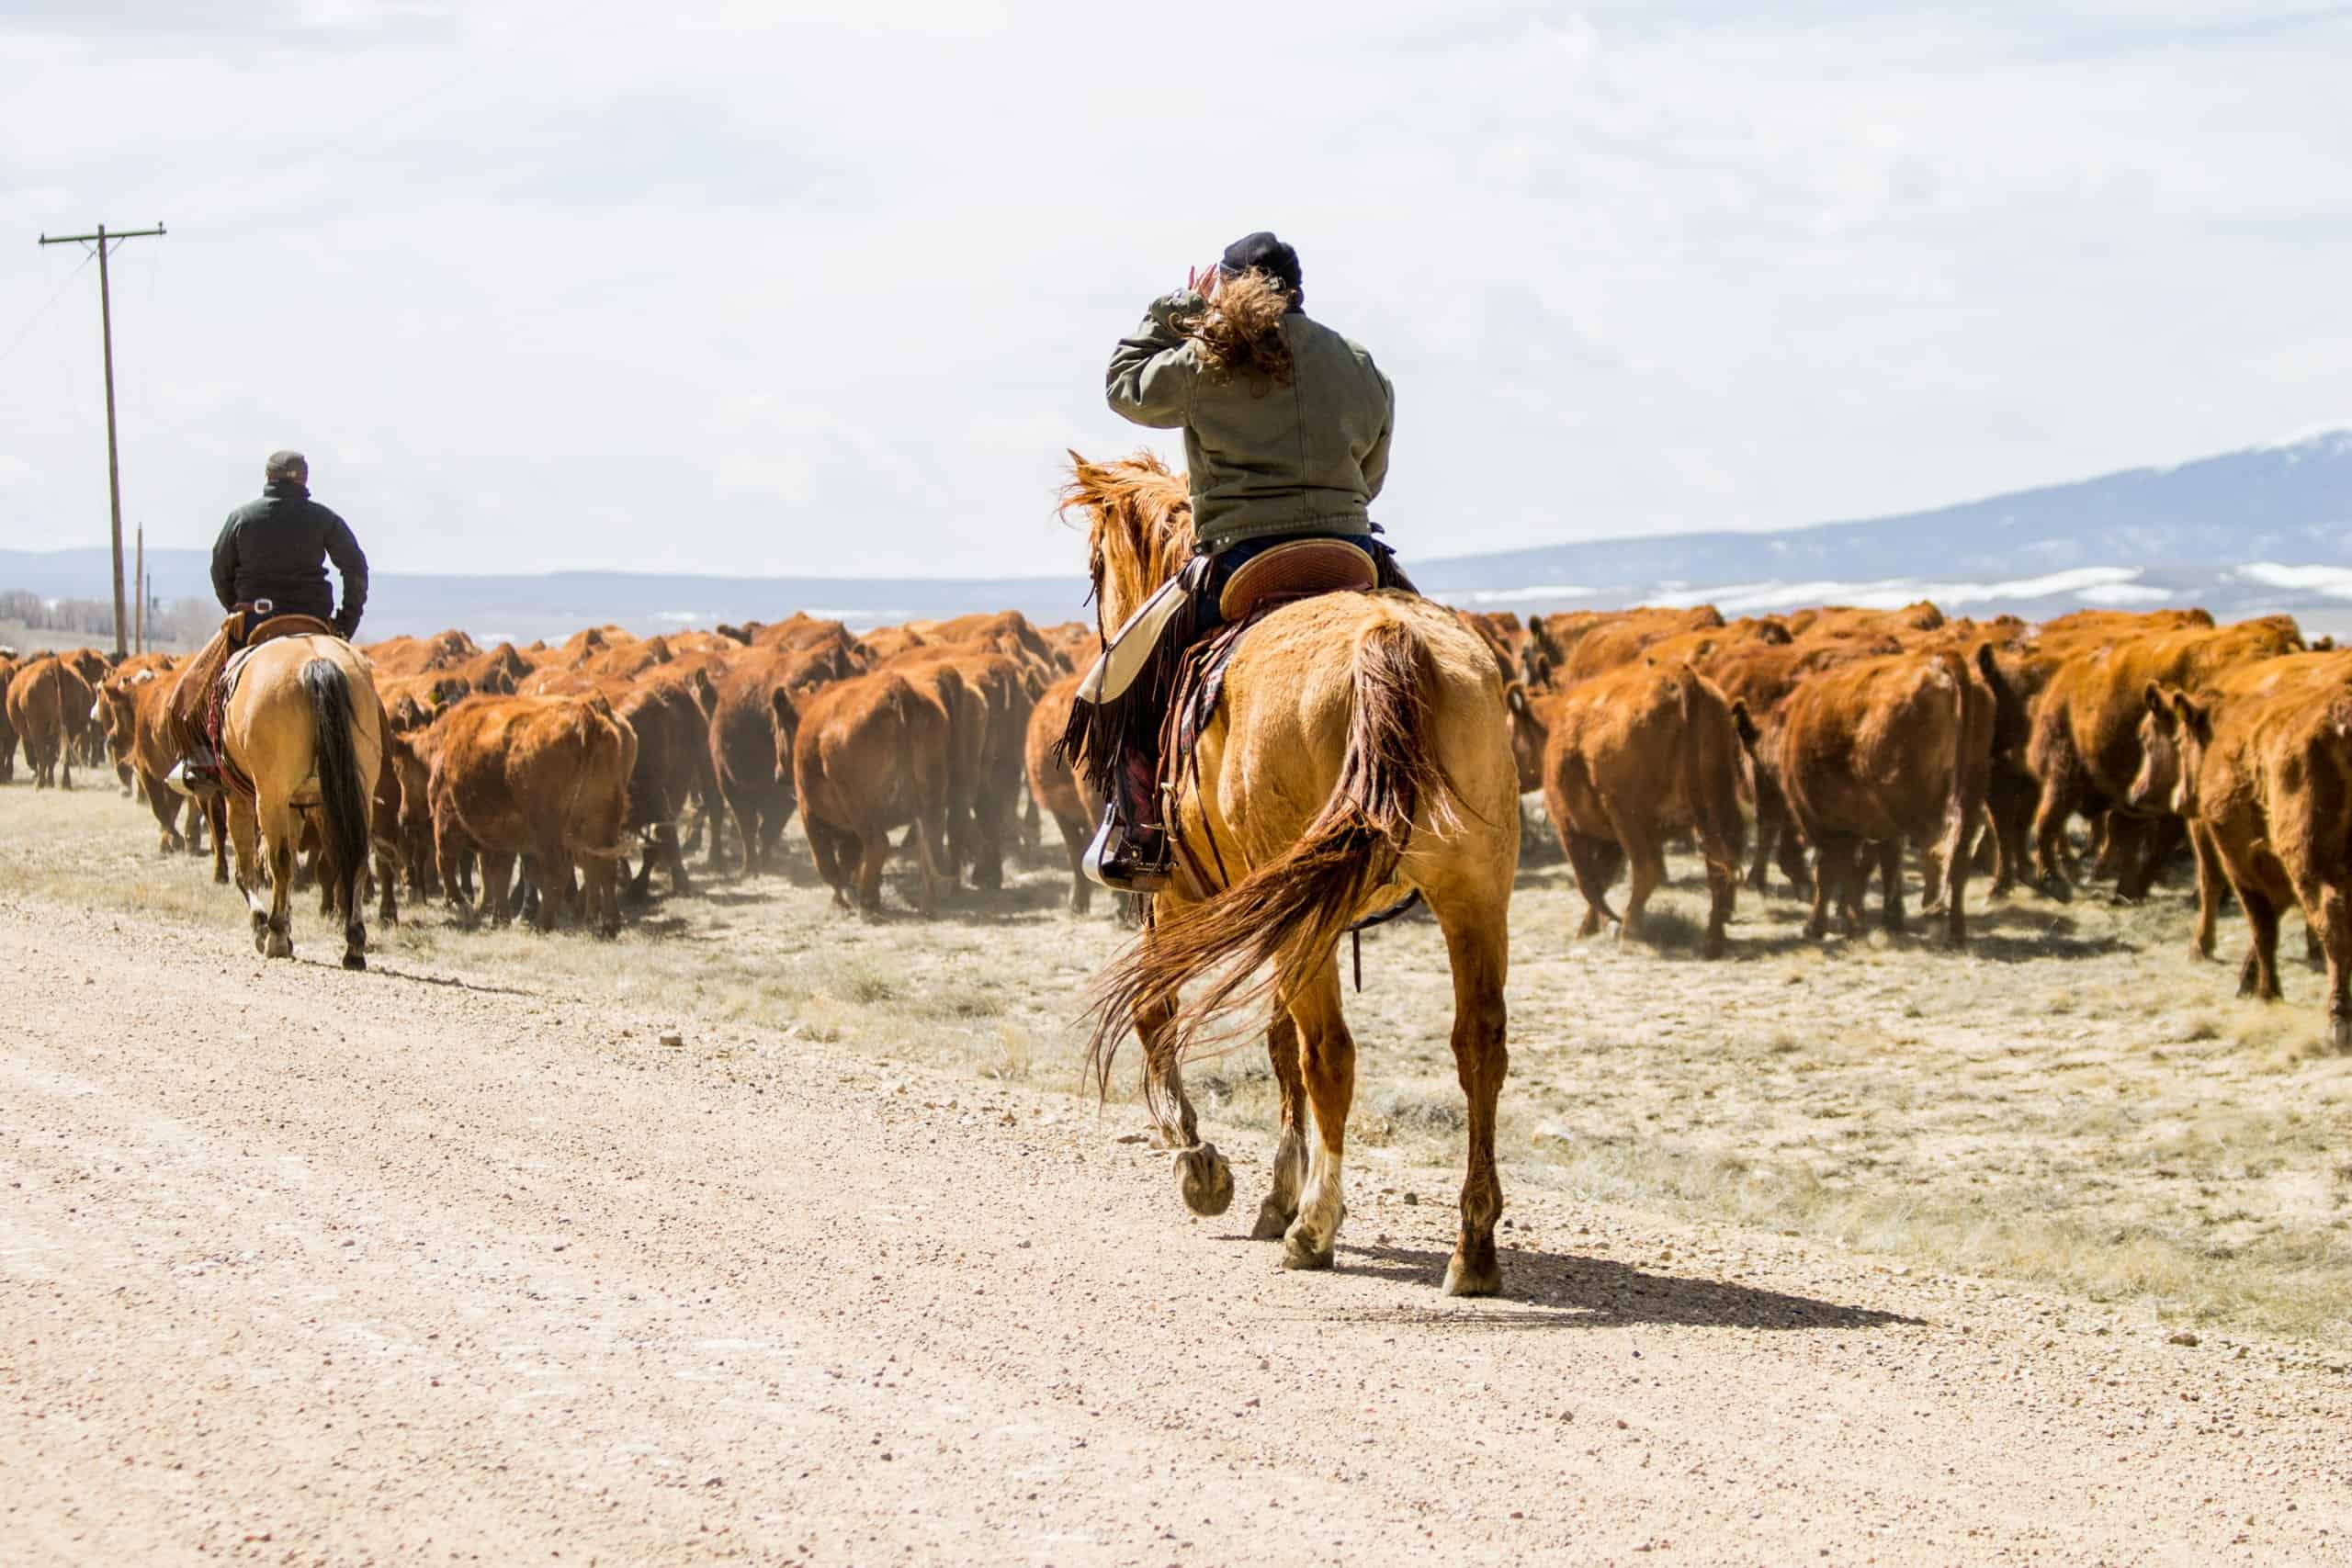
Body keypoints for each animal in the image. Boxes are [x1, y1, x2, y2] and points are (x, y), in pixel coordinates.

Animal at [790, 669, 953, 914]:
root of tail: (897, 688)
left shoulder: (808, 812)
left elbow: (828, 863)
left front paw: (840, 899)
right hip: (931, 800)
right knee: (931, 840)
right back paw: (927, 903)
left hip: (859, 809)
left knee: (878, 844)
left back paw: (868, 901)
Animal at [1537, 661, 1757, 956]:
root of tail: (1680, 675)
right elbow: (1602, 878)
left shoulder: (1569, 828)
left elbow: (1589, 881)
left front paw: (1594, 927)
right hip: (1713, 809)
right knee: (1719, 866)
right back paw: (1713, 940)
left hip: (1626, 816)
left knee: (1648, 869)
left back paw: (1629, 930)